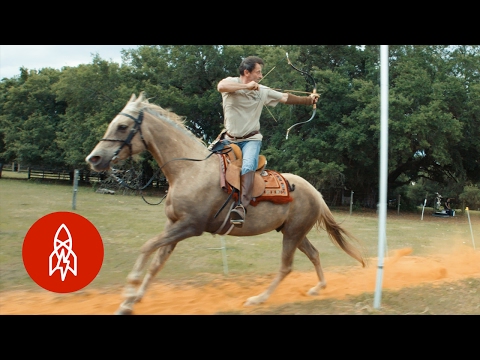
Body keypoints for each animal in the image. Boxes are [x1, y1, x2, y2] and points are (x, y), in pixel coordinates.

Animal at [86, 91, 366, 314]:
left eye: (122, 126)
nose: (94, 158)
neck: (189, 170)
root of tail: (315, 192)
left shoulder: (190, 226)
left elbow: (146, 248)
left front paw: (127, 297)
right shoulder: (173, 225)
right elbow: (157, 262)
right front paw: (134, 300)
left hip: (293, 234)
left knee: (286, 267)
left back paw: (258, 299)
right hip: (294, 232)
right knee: (314, 254)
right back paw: (318, 288)